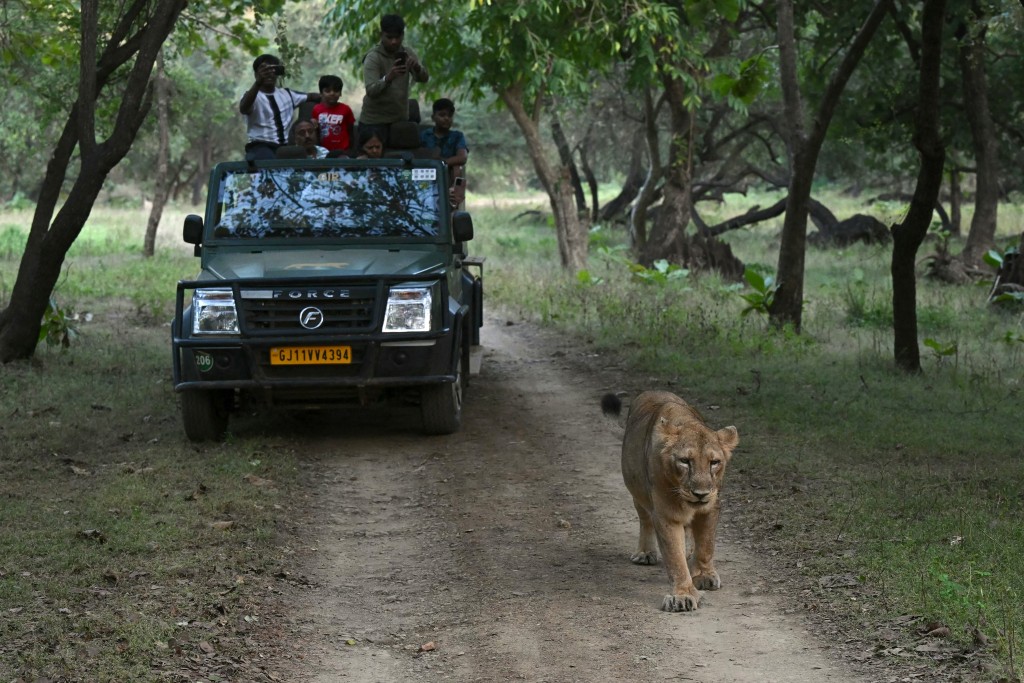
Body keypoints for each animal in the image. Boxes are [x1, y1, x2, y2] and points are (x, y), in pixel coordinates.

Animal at [603, 391, 739, 612]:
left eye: (714, 462)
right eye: (685, 461)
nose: (700, 493)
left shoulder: (710, 507)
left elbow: (706, 545)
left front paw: (704, 575)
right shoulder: (666, 514)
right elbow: (675, 557)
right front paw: (683, 596)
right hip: (637, 491)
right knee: (645, 521)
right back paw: (645, 553)